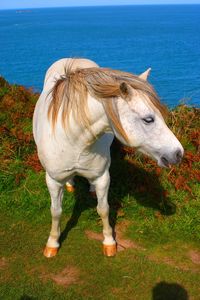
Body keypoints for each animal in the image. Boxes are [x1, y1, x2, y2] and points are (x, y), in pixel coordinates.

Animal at [32, 58, 183, 258]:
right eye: (148, 119)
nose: (178, 153)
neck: (73, 139)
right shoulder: (53, 180)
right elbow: (56, 212)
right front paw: (52, 244)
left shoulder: (102, 177)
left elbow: (103, 209)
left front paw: (109, 242)